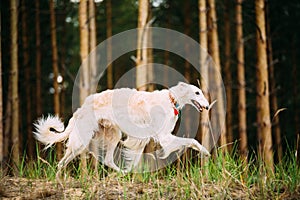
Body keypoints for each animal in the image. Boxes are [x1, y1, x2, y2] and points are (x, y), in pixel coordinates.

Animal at [33, 82, 211, 179]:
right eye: (197, 92)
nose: (208, 106)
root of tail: (80, 110)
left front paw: (131, 172)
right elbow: (192, 140)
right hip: (81, 141)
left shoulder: (141, 139)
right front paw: (205, 151)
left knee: (108, 160)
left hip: (113, 135)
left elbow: (134, 160)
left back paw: (121, 173)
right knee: (61, 163)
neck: (170, 100)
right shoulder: (164, 137)